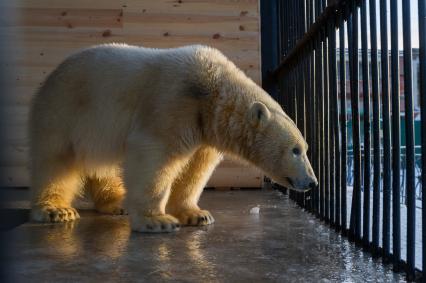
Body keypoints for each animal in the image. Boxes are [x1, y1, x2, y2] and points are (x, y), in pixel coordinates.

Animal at [29, 43, 316, 233]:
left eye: (305, 148)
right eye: (295, 150)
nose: (312, 182)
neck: (211, 91)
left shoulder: (204, 131)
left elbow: (195, 170)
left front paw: (197, 214)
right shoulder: (171, 104)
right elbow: (155, 157)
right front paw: (157, 220)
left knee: (103, 167)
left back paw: (118, 202)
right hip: (65, 112)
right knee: (55, 161)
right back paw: (56, 210)